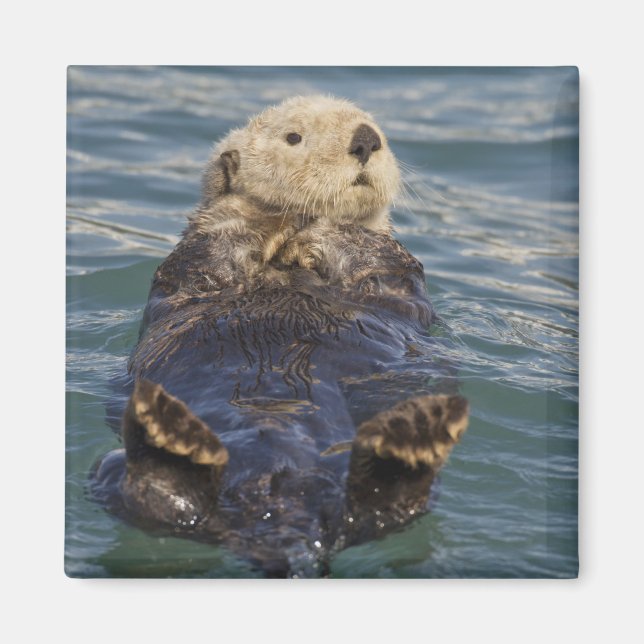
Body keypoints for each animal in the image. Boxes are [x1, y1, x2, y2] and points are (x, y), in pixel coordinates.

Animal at [91, 96, 469, 578]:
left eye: (377, 128)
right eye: (294, 137)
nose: (366, 140)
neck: (284, 264)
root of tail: (286, 516)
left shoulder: (393, 274)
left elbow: (372, 257)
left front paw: (324, 228)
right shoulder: (193, 267)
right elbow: (215, 248)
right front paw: (258, 217)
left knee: (386, 510)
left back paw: (411, 444)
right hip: (109, 470)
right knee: (156, 501)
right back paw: (168, 439)